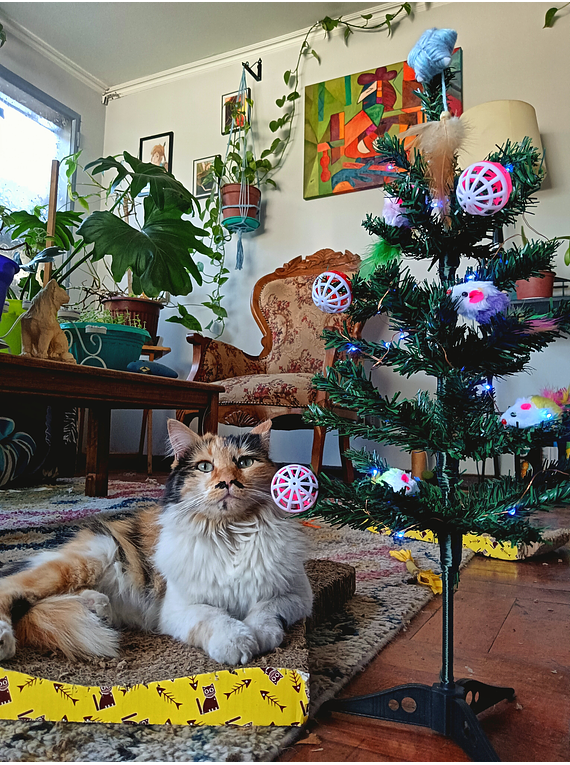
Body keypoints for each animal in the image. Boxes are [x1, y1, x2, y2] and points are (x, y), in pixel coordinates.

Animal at [0, 420, 310, 664]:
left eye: (244, 462)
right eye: (205, 466)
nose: (227, 483)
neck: (230, 533)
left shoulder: (296, 595)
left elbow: (266, 612)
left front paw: (259, 636)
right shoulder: (178, 608)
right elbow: (214, 616)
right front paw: (236, 641)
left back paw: (97, 606)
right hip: (87, 560)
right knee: (11, 590)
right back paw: (5, 640)